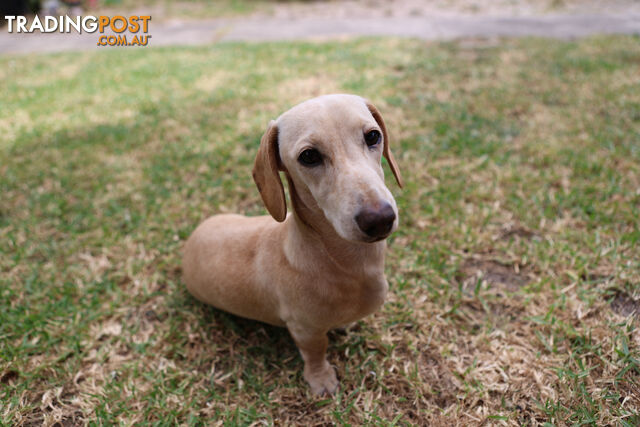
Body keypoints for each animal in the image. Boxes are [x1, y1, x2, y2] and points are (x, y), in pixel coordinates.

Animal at [182, 93, 402, 394]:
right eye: (309, 156)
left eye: (373, 136)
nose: (379, 219)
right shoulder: (304, 328)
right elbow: (315, 350)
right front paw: (321, 379)